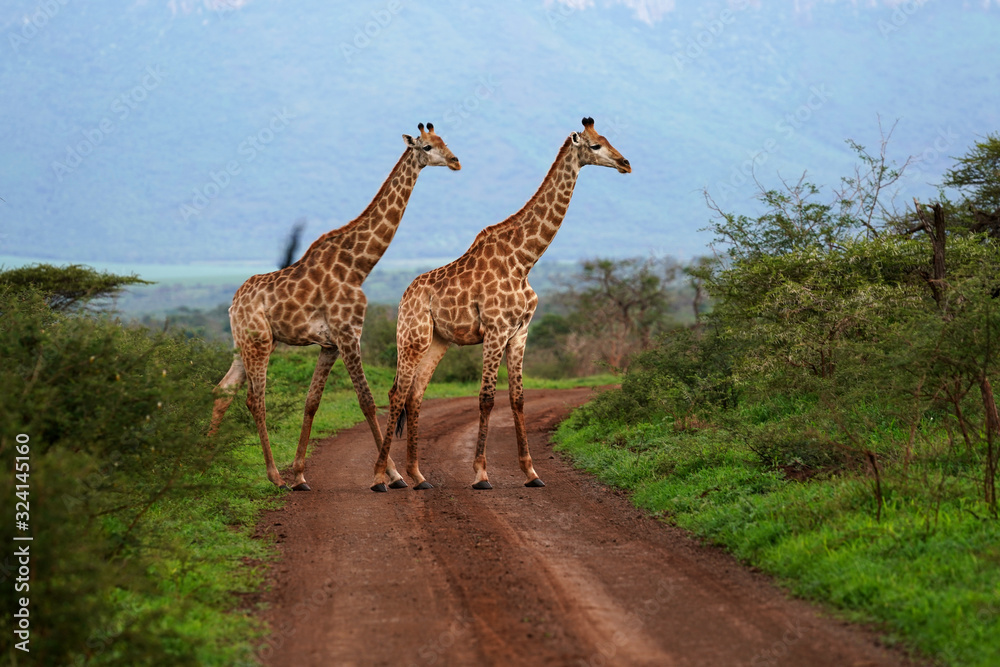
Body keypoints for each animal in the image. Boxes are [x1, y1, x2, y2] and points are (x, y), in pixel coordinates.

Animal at [210, 123, 460, 490]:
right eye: (427, 146)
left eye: (445, 141)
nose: (456, 161)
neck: (357, 266)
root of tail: (232, 304)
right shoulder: (348, 334)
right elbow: (367, 401)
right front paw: (392, 476)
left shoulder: (329, 344)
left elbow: (312, 402)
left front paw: (301, 475)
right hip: (259, 342)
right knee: (255, 399)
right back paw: (273, 476)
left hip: (242, 343)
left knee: (223, 390)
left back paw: (203, 459)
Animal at [371, 117, 630, 492]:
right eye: (595, 146)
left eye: (607, 139)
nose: (625, 163)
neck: (524, 260)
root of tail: (405, 295)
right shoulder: (495, 331)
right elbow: (487, 398)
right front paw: (481, 474)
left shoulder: (520, 333)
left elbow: (517, 398)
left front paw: (531, 473)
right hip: (412, 337)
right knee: (395, 393)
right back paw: (381, 477)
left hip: (438, 341)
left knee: (414, 396)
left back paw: (418, 476)